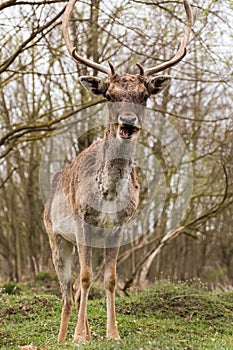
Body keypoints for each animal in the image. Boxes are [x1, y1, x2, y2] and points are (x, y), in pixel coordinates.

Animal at [43, 0, 193, 342]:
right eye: (109, 95)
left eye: (144, 96)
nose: (127, 122)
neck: (108, 196)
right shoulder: (82, 219)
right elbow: (85, 278)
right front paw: (80, 336)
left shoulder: (120, 225)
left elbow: (109, 280)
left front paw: (112, 333)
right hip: (55, 235)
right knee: (66, 288)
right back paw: (62, 336)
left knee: (78, 286)